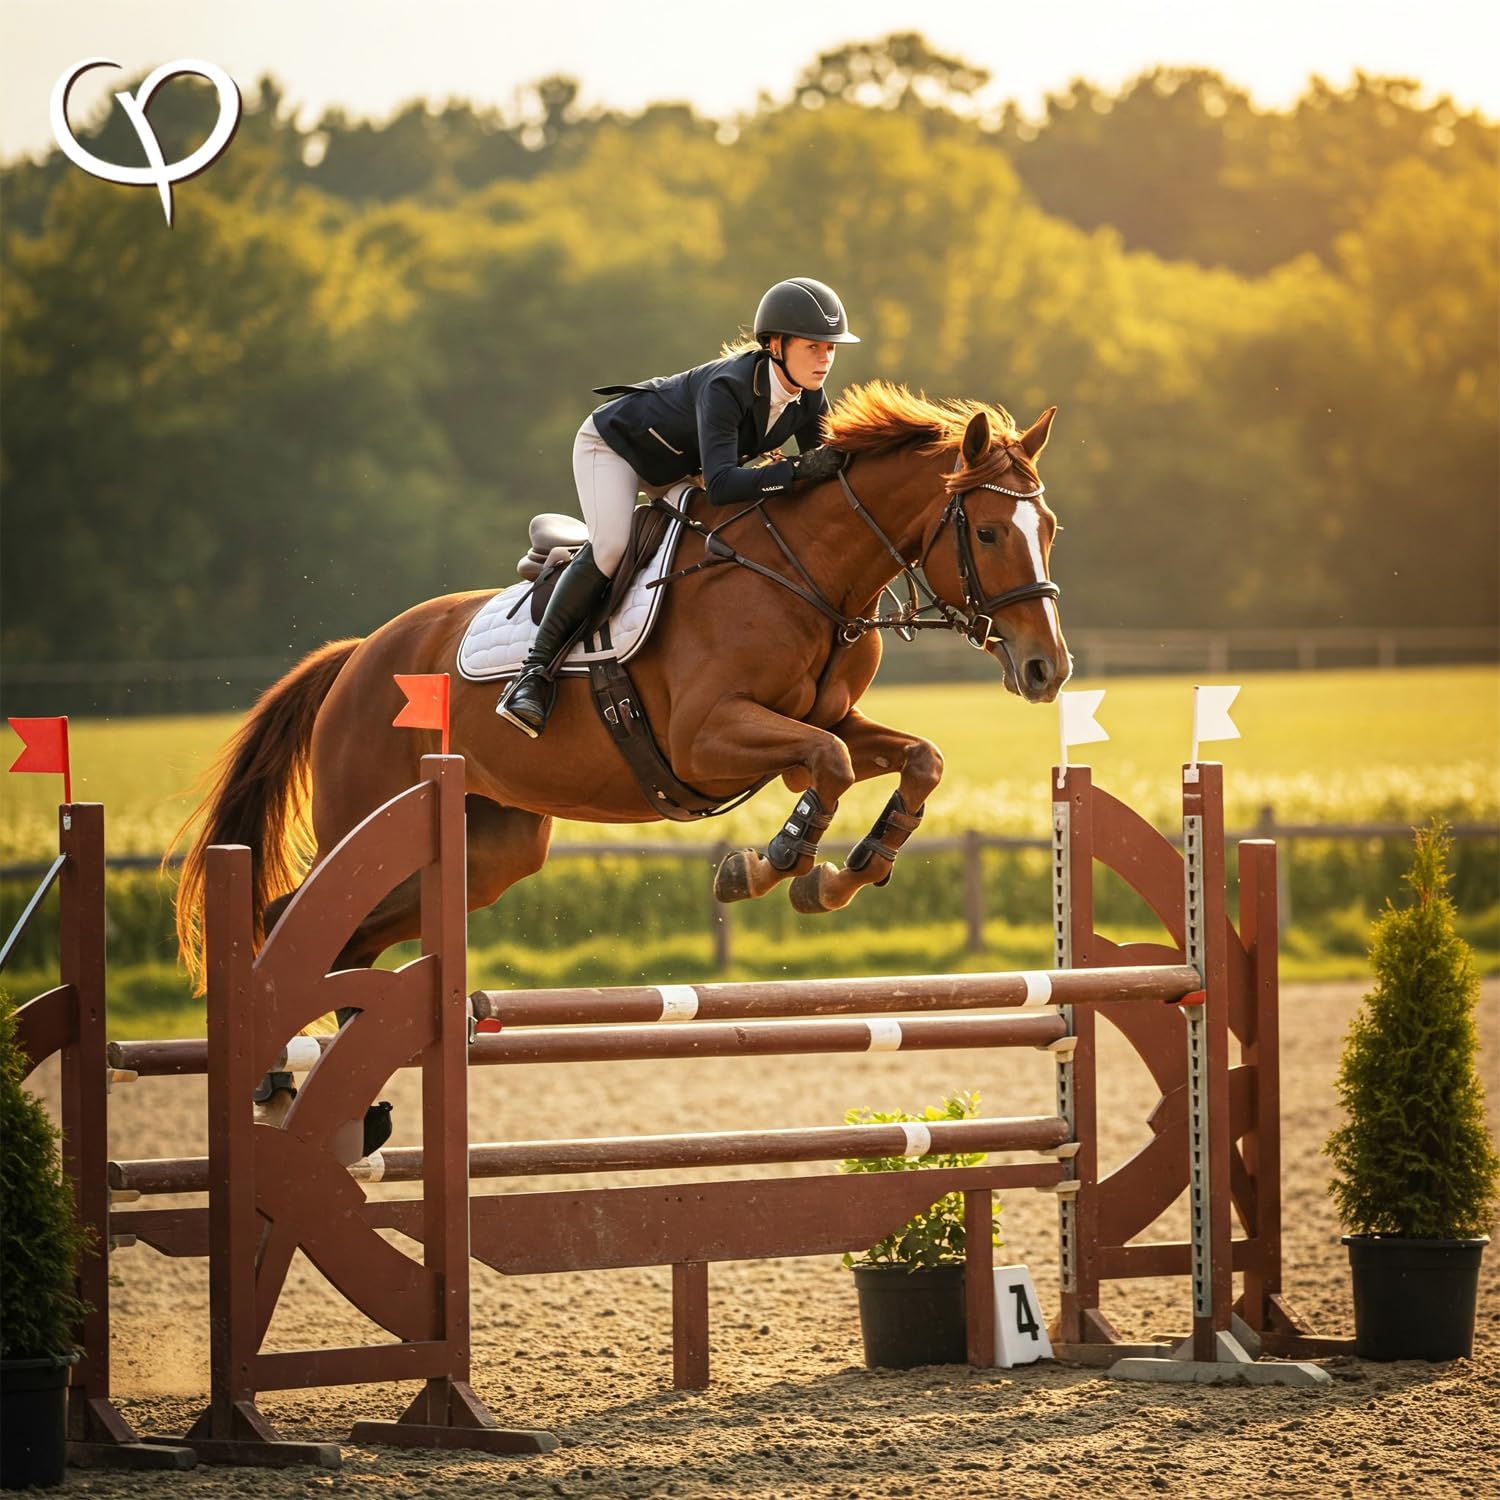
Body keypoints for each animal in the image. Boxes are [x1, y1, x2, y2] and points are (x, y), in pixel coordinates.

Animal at [173, 381, 1071, 990]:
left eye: (1051, 528)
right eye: (990, 531)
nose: (1047, 669)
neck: (804, 571)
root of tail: (358, 657)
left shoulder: (826, 716)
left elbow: (915, 758)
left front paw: (842, 874)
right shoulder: (706, 738)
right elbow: (830, 766)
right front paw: (767, 864)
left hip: (488, 851)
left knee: (353, 941)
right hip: (364, 821)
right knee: (295, 920)